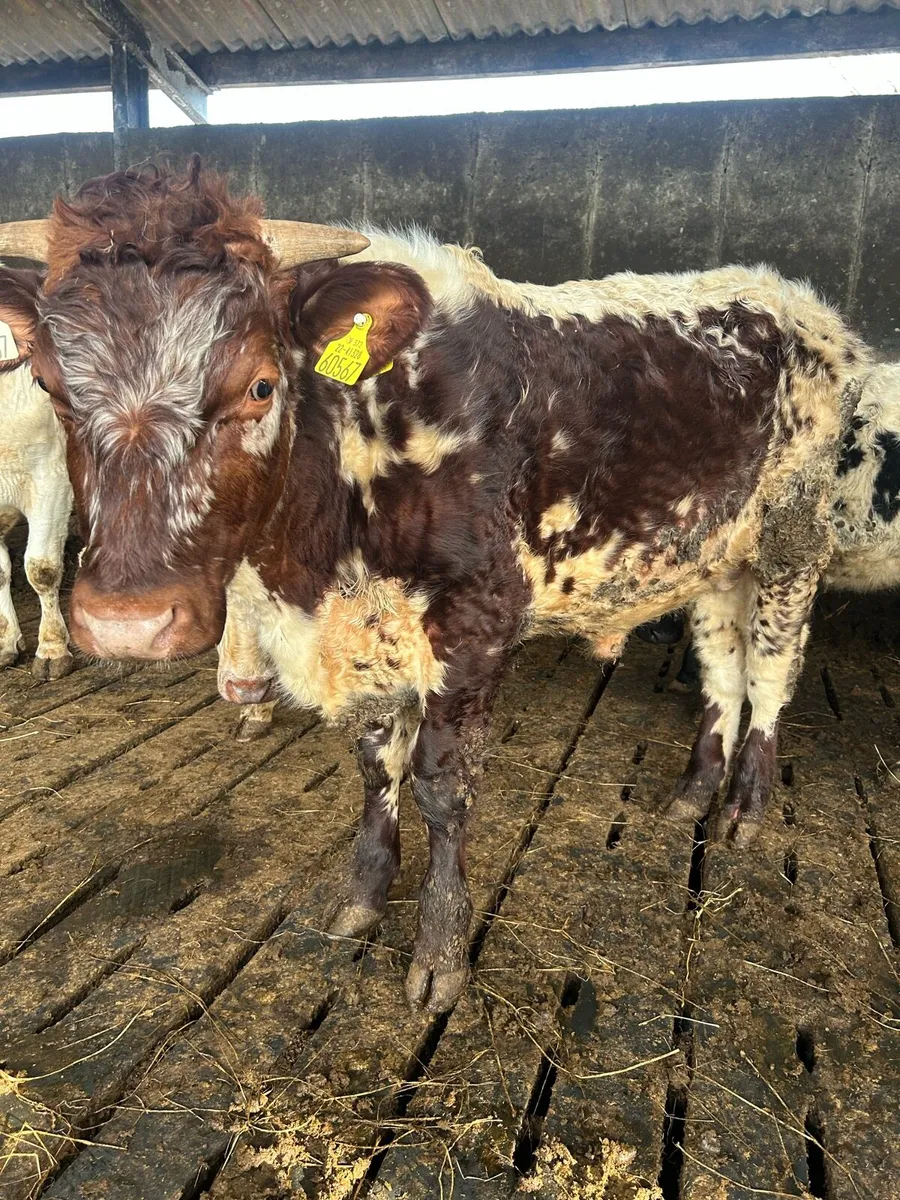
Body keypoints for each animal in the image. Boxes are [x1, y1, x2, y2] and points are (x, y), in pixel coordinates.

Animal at [0, 160, 867, 1012]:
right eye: (47, 384)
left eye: (260, 385)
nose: (128, 622)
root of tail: (801, 303)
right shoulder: (366, 633)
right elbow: (376, 767)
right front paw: (360, 897)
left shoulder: (478, 619)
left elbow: (442, 787)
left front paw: (442, 949)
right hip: (718, 554)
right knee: (722, 668)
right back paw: (694, 790)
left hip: (792, 537)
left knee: (771, 671)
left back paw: (747, 807)